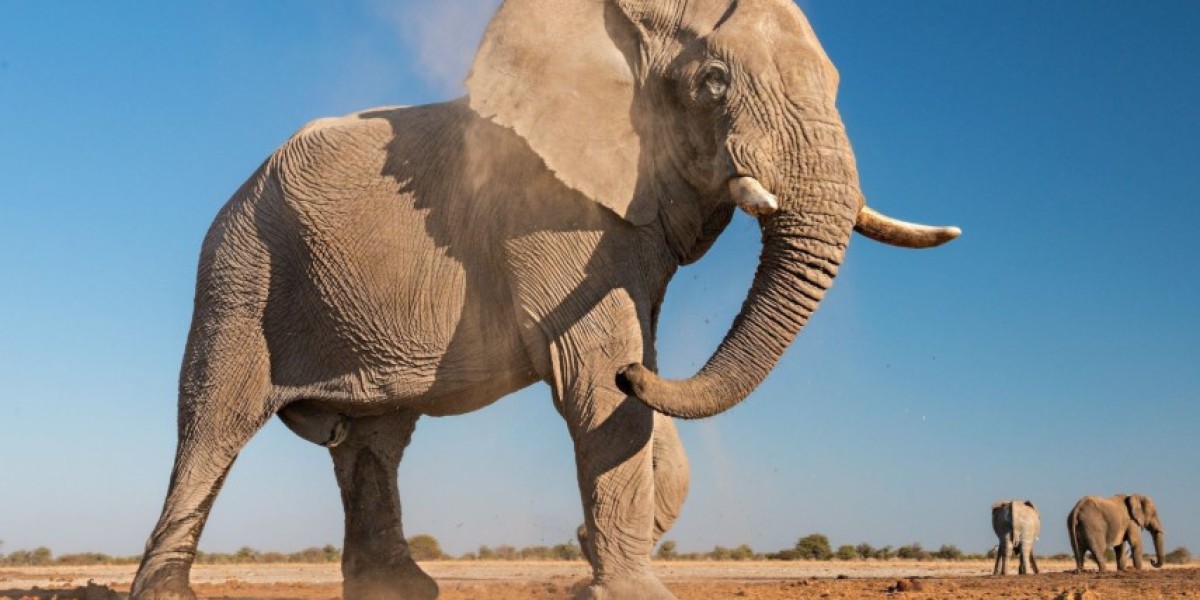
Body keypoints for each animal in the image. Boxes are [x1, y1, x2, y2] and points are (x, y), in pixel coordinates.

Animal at [128, 1, 960, 599]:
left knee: (375, 441)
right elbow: (594, 368)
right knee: (214, 420)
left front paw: (598, 555)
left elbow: (632, 376)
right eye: (713, 83)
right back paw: (168, 591)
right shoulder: (546, 206)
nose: (577, 546)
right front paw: (628, 588)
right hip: (240, 266)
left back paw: (402, 590)